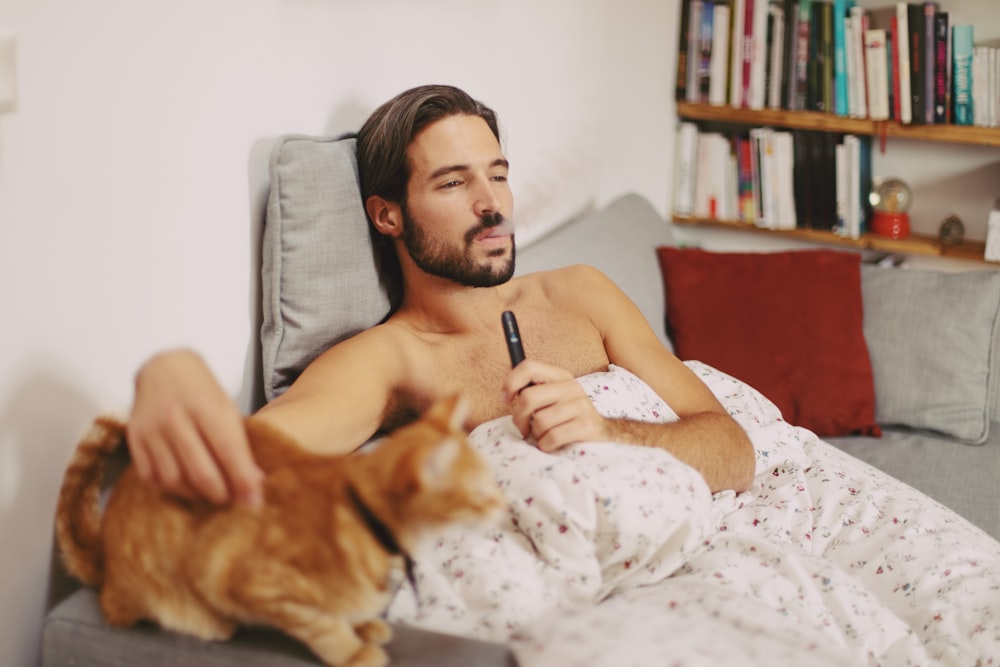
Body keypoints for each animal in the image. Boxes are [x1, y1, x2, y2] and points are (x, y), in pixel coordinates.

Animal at [56, 396, 500, 667]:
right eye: (480, 492)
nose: (505, 504)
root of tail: (104, 555)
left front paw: (364, 626)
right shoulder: (242, 576)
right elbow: (322, 625)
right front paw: (354, 652)